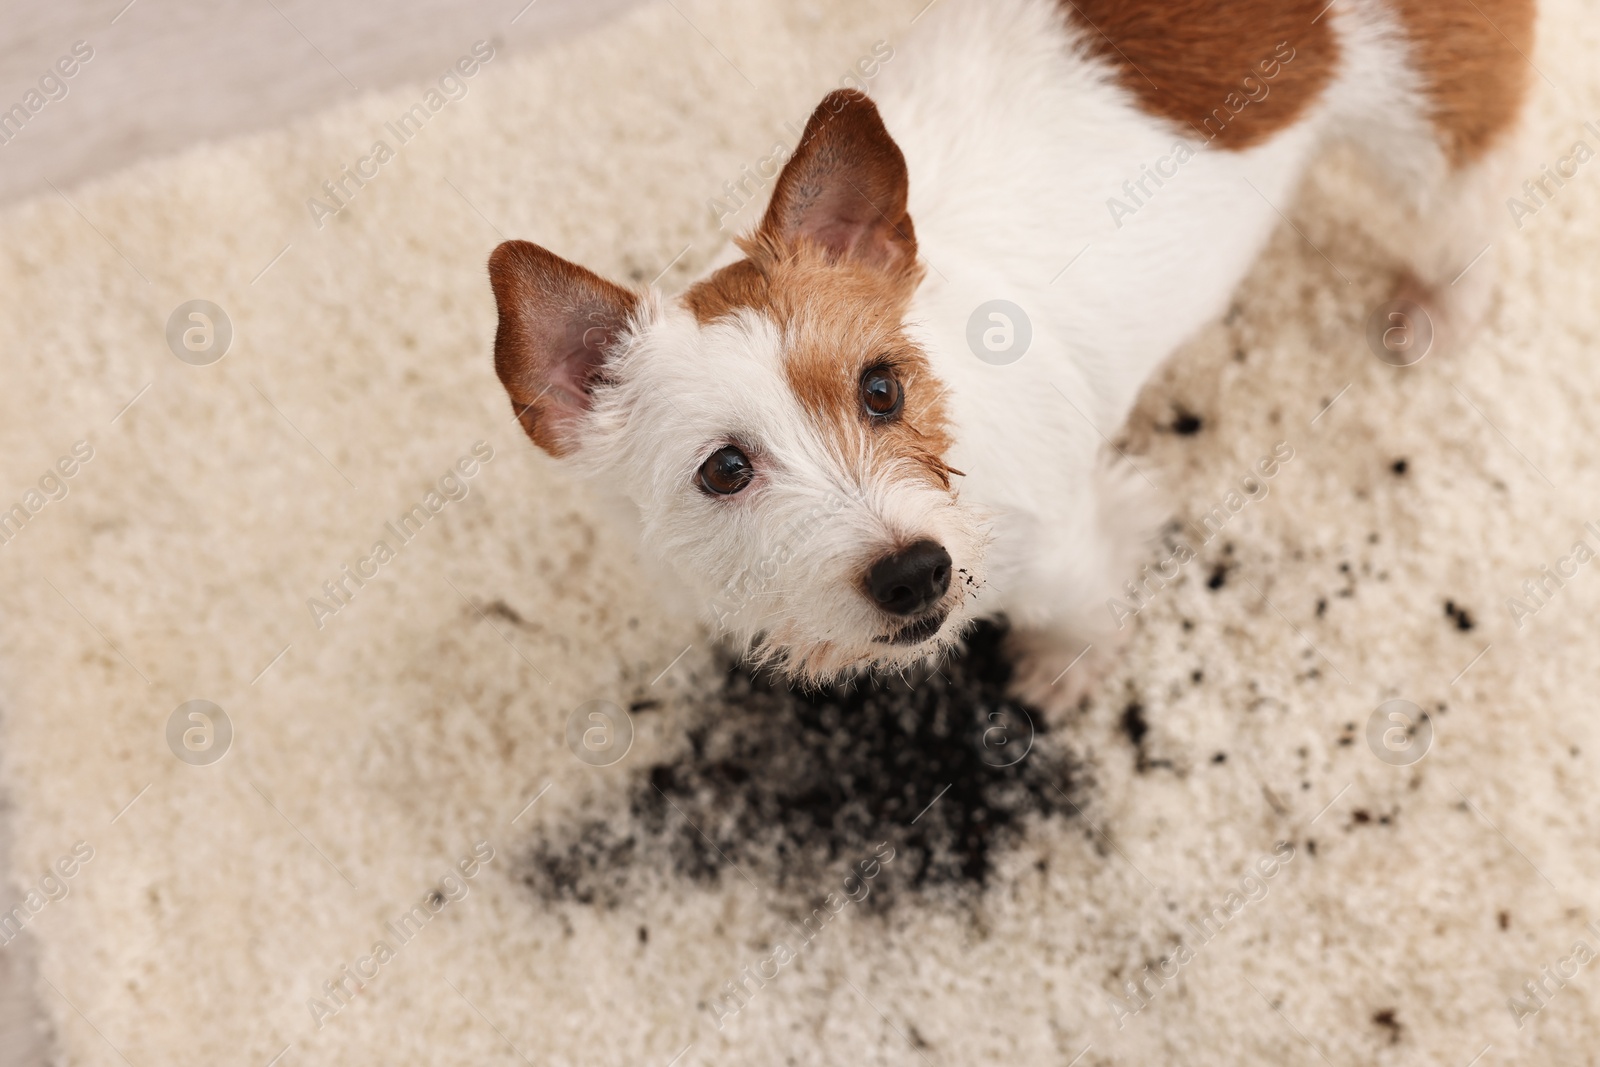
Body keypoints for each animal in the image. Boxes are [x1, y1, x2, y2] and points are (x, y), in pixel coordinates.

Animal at [486, 0, 1536, 700]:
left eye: (879, 389)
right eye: (724, 469)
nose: (915, 572)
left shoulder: (1063, 544)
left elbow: (1071, 602)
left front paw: (1067, 670)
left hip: (1431, 124)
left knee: (1472, 201)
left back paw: (1439, 309)